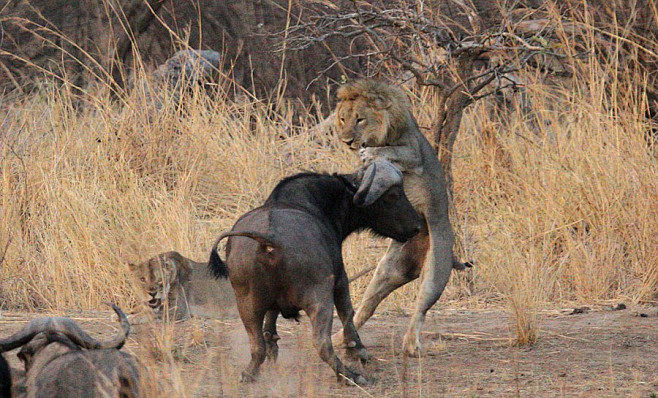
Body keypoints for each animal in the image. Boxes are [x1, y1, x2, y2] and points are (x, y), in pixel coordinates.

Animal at [334, 79, 466, 356]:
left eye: (359, 119)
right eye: (342, 118)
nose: (347, 141)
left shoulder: (413, 152)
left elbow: (391, 151)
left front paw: (370, 153)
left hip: (435, 270)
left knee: (421, 307)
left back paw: (411, 344)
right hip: (388, 270)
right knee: (365, 307)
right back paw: (339, 338)